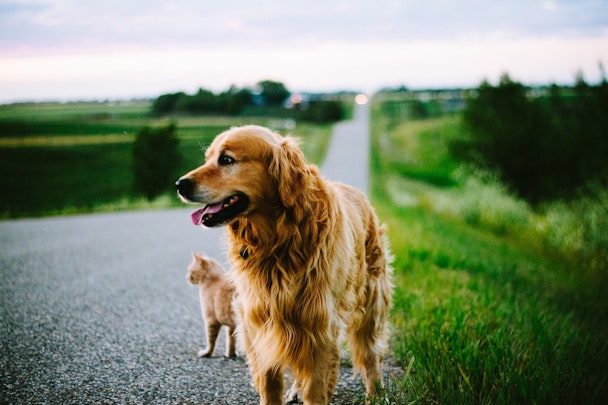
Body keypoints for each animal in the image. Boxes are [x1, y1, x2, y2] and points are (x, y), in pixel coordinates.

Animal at [176, 124, 394, 402]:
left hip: (371, 300)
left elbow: (317, 383)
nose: (179, 185)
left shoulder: (318, 321)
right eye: (207, 158)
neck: (277, 241)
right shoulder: (261, 321)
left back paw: (375, 393)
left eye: (226, 160)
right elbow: (270, 382)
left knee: (370, 353)